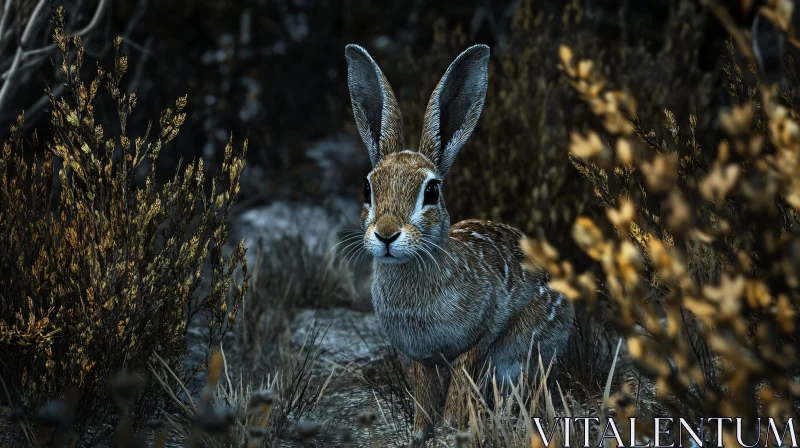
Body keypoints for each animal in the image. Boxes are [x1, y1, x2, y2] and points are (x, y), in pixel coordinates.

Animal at [344, 43, 576, 444]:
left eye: (432, 191)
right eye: (367, 188)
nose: (386, 234)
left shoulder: (474, 343)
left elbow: (458, 391)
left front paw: (452, 430)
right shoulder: (421, 356)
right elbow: (424, 395)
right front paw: (420, 434)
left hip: (517, 354)